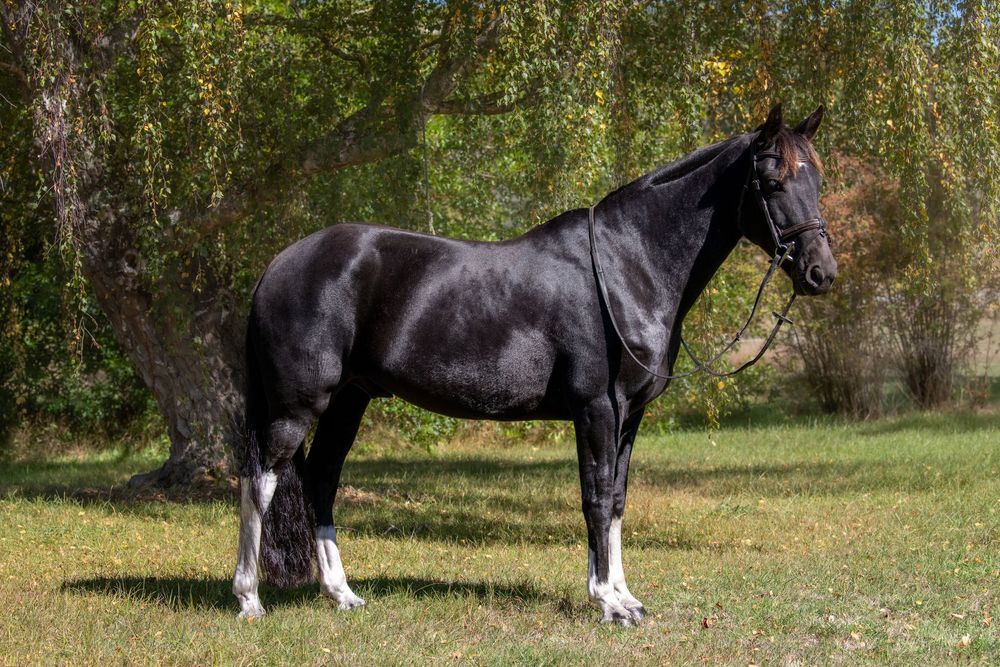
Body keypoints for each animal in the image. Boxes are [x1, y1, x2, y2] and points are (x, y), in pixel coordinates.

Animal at [232, 104, 837, 626]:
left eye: (818, 182)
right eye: (773, 182)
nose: (821, 273)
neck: (626, 266)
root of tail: (277, 265)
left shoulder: (629, 417)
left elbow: (617, 501)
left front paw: (627, 597)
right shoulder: (596, 410)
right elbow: (595, 498)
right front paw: (606, 602)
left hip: (348, 401)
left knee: (320, 479)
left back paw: (342, 594)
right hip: (297, 406)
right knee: (260, 481)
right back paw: (249, 598)